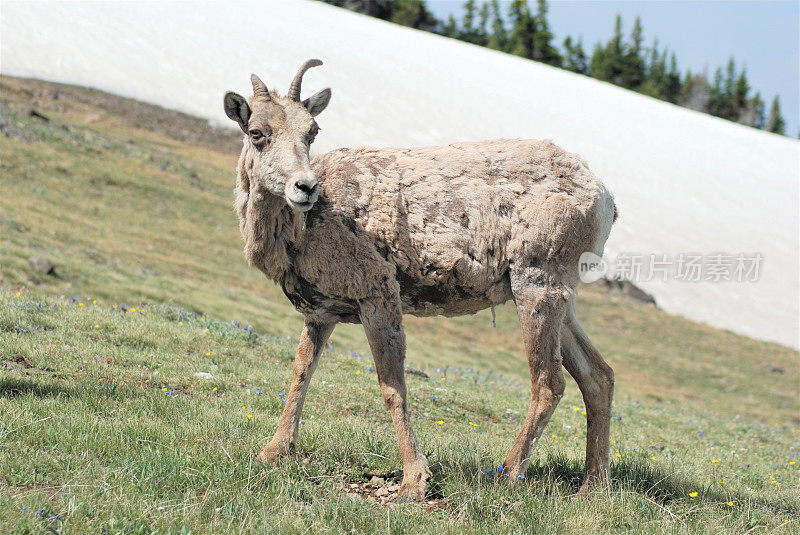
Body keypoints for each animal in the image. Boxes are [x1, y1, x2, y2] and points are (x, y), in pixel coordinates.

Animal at [225, 60, 620, 500]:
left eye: (312, 131)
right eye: (256, 132)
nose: (304, 187)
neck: (305, 230)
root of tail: (603, 199)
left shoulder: (378, 294)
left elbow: (391, 385)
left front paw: (414, 481)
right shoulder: (321, 312)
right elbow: (300, 371)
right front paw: (273, 451)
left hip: (536, 283)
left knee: (549, 382)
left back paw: (506, 475)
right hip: (561, 297)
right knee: (598, 376)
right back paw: (593, 486)